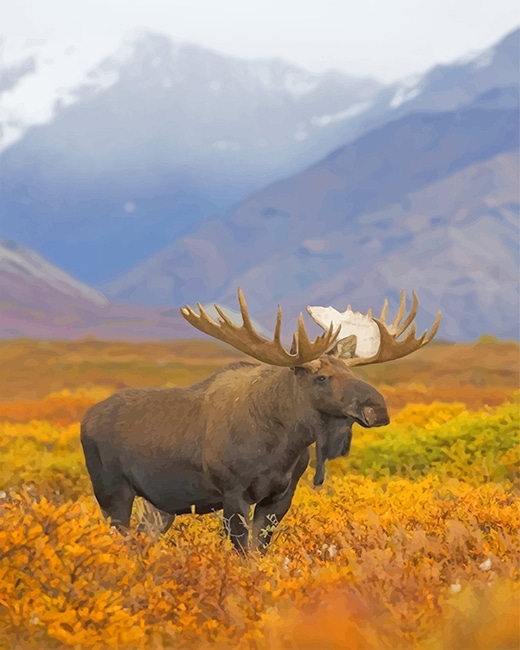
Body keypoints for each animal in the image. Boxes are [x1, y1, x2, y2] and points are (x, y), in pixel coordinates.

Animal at [80, 289, 441, 552]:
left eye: (351, 372)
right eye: (322, 377)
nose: (377, 409)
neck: (284, 444)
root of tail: (85, 419)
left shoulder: (280, 496)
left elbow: (260, 550)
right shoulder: (232, 493)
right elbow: (243, 553)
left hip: (158, 506)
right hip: (112, 492)